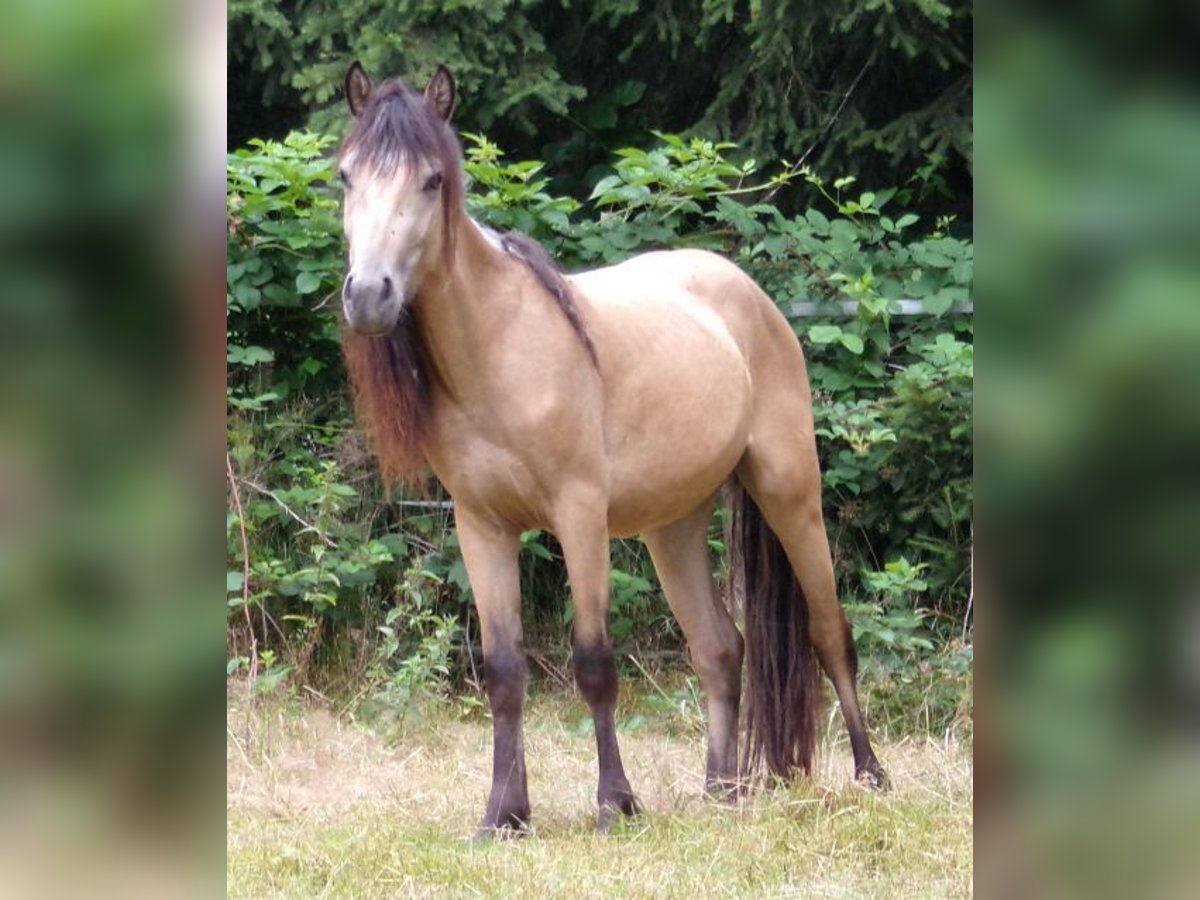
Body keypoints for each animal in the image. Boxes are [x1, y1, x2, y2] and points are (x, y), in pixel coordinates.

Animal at [333, 61, 888, 840]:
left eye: (431, 180)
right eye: (345, 177)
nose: (368, 296)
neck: (498, 351)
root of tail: (747, 293)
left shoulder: (580, 516)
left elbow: (593, 661)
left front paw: (614, 803)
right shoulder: (482, 527)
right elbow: (503, 672)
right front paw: (504, 814)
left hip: (789, 492)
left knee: (829, 629)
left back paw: (872, 774)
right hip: (672, 526)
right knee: (719, 649)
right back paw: (721, 789)